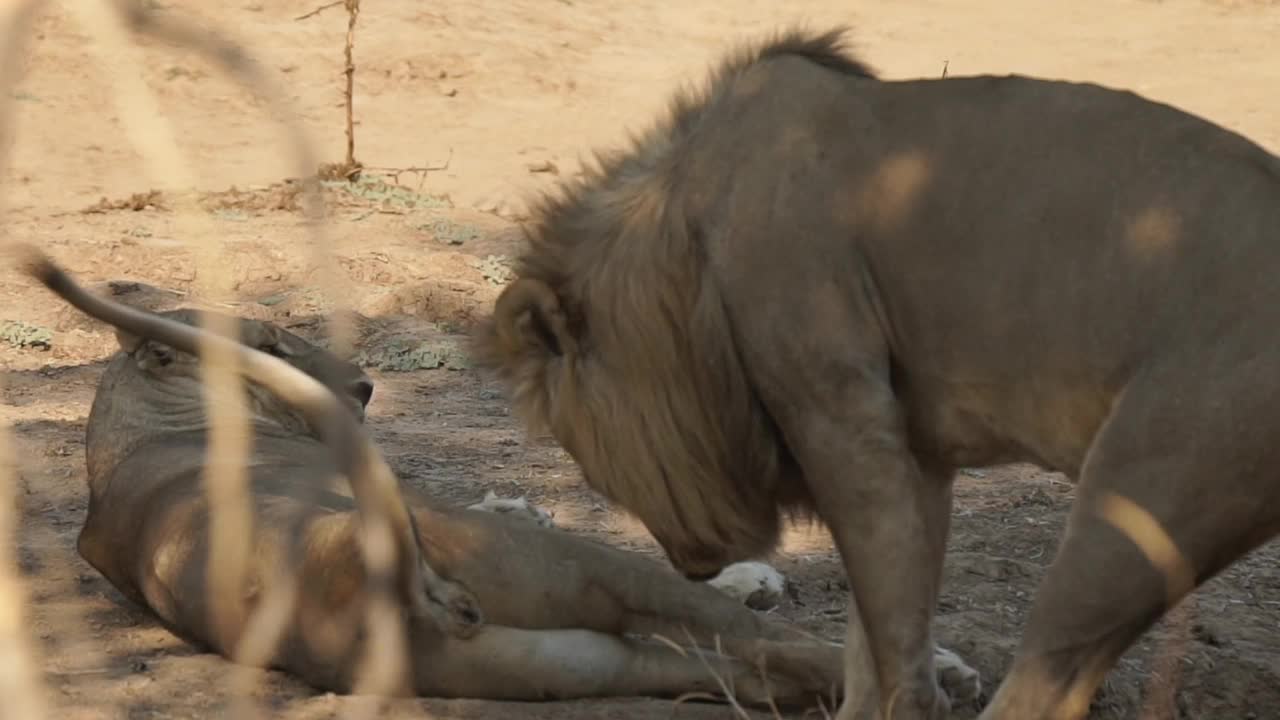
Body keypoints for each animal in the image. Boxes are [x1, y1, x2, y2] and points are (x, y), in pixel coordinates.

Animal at [15, 245, 977, 707]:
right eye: (272, 344)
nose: (364, 387)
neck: (132, 438)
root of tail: (369, 591)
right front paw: (757, 579)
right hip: (576, 570)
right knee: (751, 635)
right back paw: (944, 671)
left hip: (592, 663)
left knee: (754, 672)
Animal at [476, 22, 1280, 717]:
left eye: (587, 462)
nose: (690, 564)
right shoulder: (914, 445)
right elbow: (880, 623)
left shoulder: (839, 409)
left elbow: (891, 639)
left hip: (1139, 500)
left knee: (1045, 686)